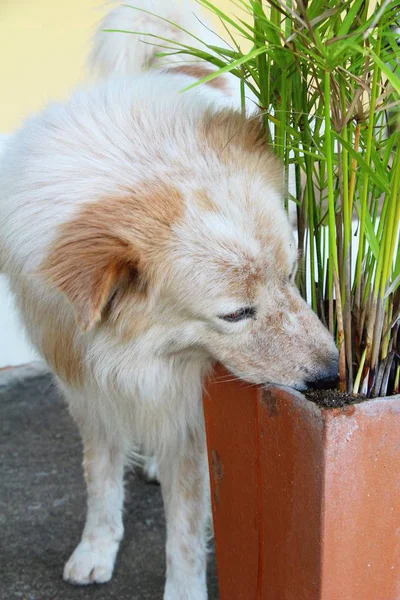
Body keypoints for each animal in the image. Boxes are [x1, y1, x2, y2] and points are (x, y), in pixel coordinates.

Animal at [0, 2, 340, 596]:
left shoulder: (189, 417)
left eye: (293, 276)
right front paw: (96, 548)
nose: (332, 375)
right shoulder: (88, 388)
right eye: (235, 313)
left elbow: (184, 525)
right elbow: (100, 478)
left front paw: (183, 588)